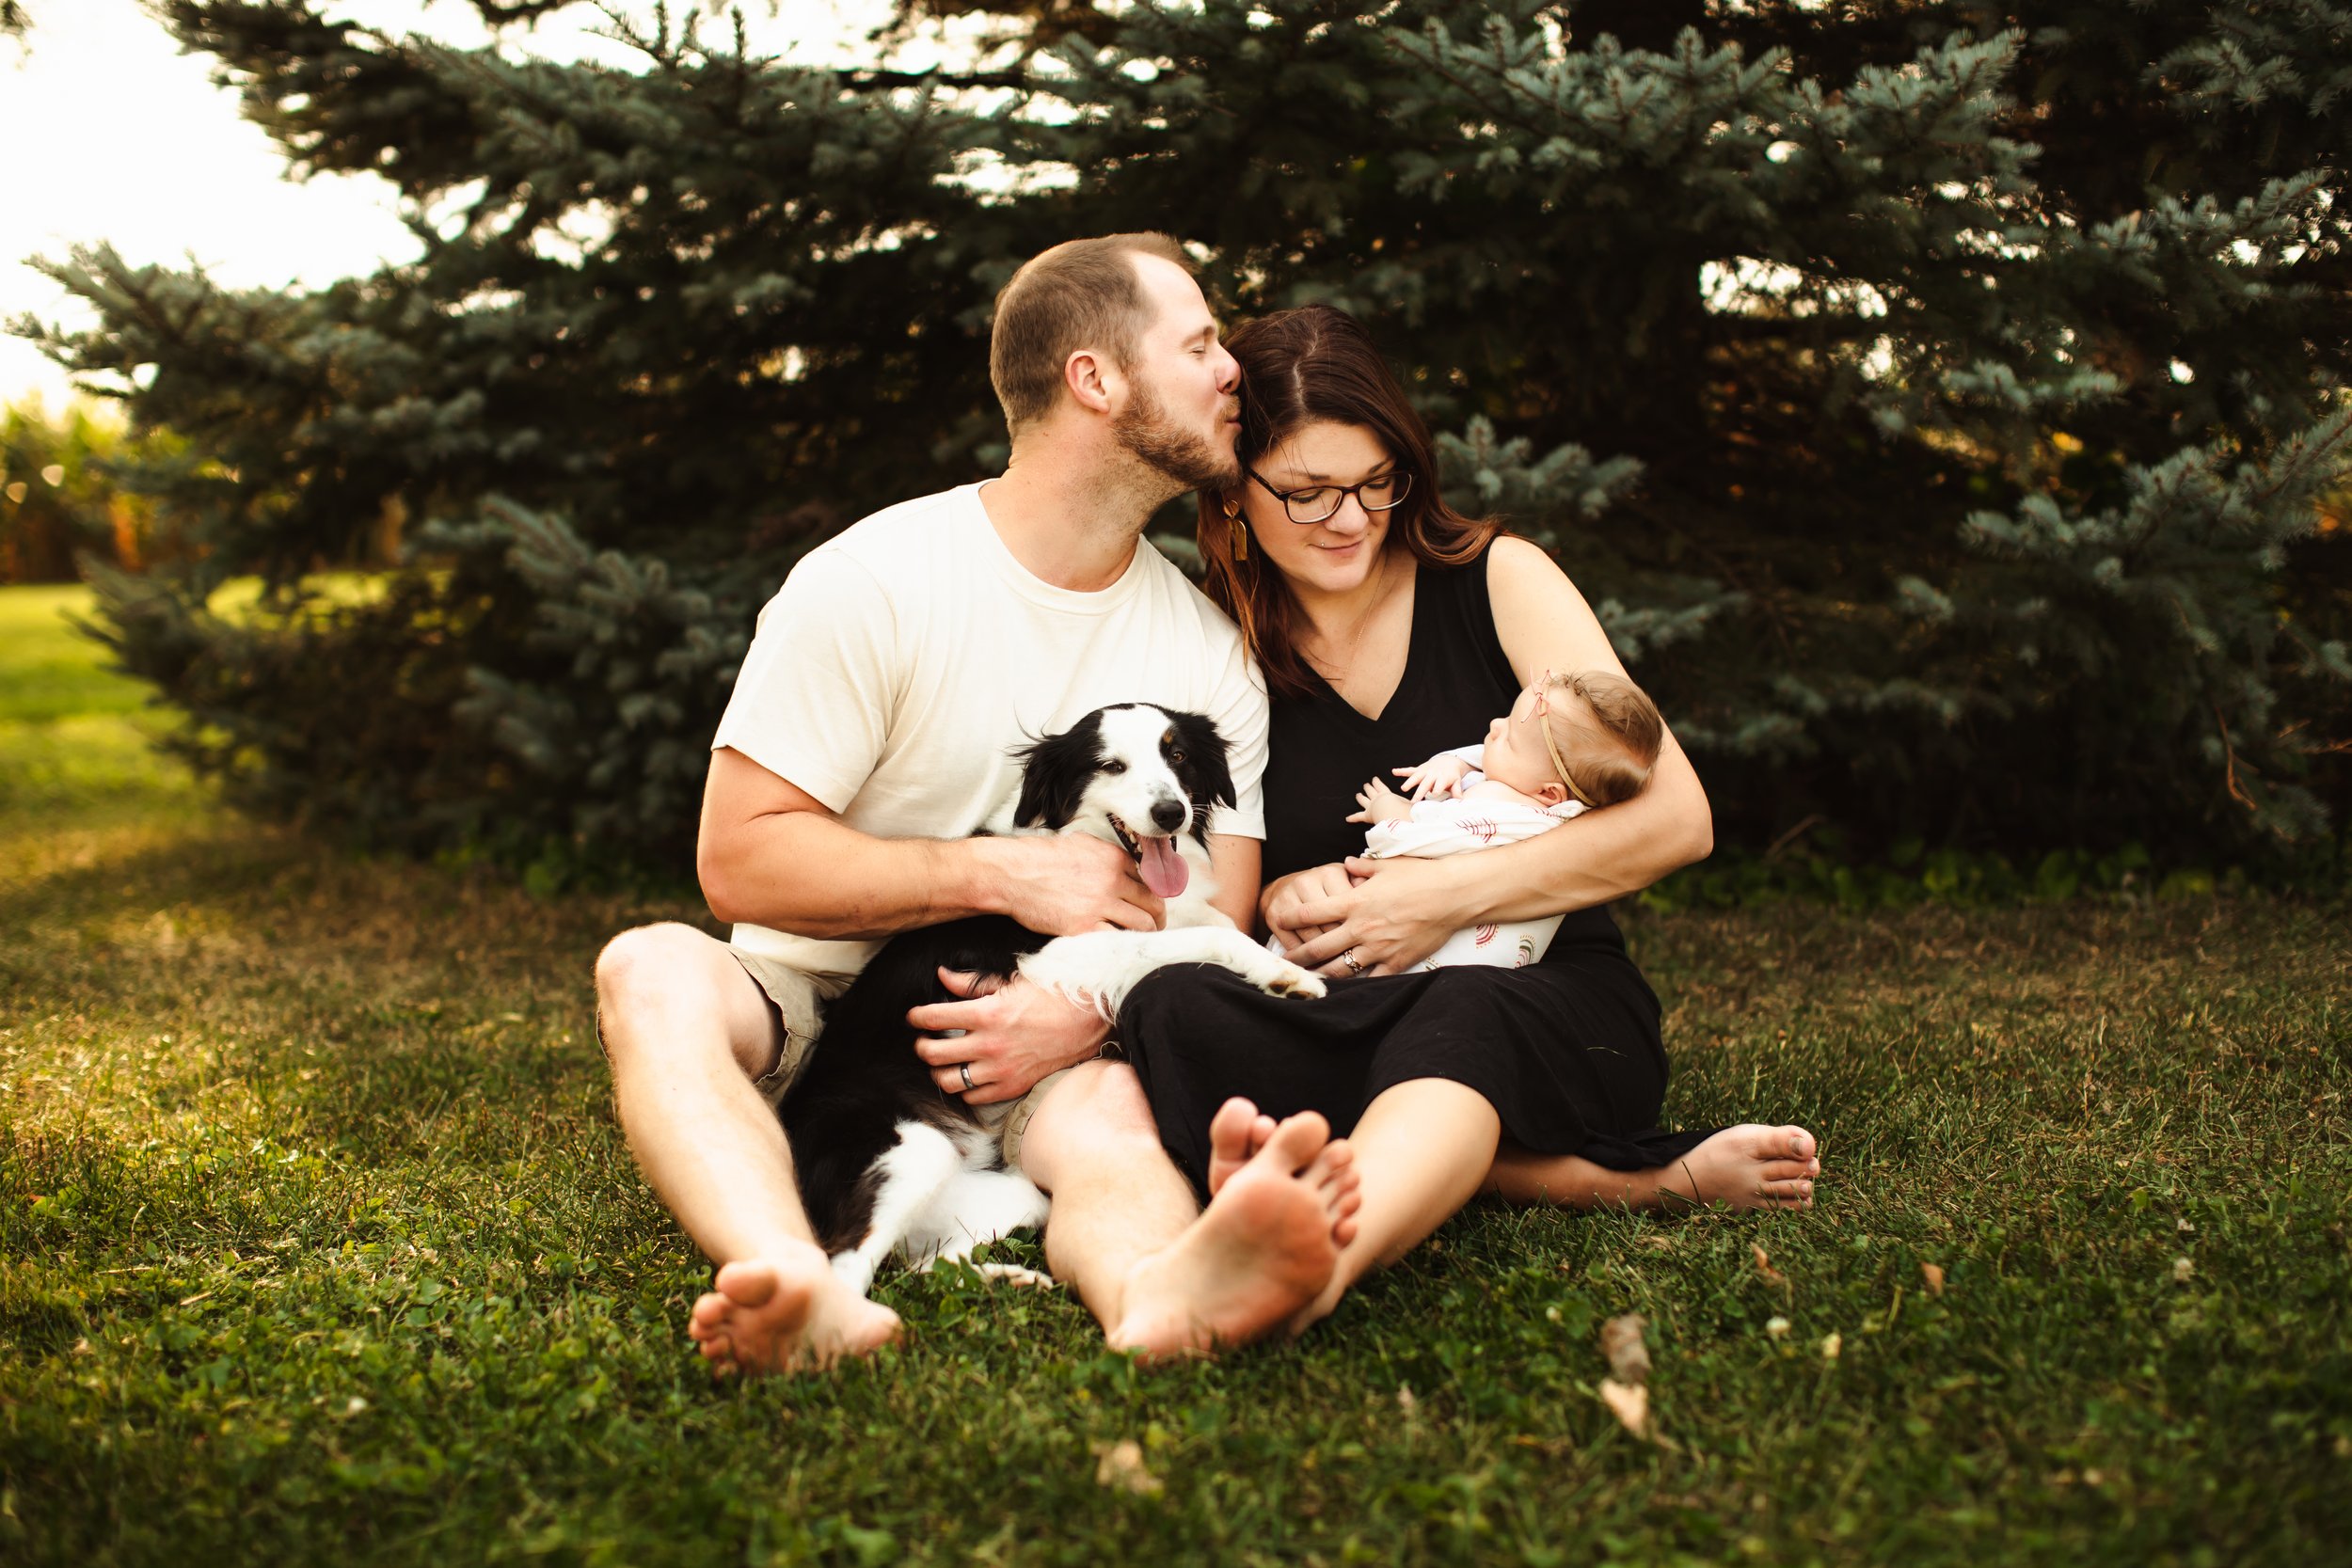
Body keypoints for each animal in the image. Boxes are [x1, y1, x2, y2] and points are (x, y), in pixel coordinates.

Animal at [786, 705, 1327, 1297]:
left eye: (1178, 754)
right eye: (1111, 765)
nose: (1171, 813)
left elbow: (1218, 923)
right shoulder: (1051, 955)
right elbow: (1206, 936)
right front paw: (1286, 975)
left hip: (1012, 1195)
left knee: (922, 1268)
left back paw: (1005, 1278)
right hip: (912, 1153)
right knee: (844, 1275)